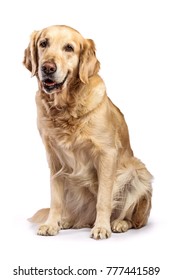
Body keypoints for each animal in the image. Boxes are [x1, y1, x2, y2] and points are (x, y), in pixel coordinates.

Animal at [23, 24, 152, 238]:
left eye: (69, 48)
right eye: (43, 43)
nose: (47, 68)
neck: (66, 108)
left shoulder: (107, 154)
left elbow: (104, 199)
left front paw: (101, 227)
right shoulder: (54, 158)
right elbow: (55, 198)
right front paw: (51, 224)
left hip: (137, 173)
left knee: (133, 219)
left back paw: (119, 223)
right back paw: (66, 220)